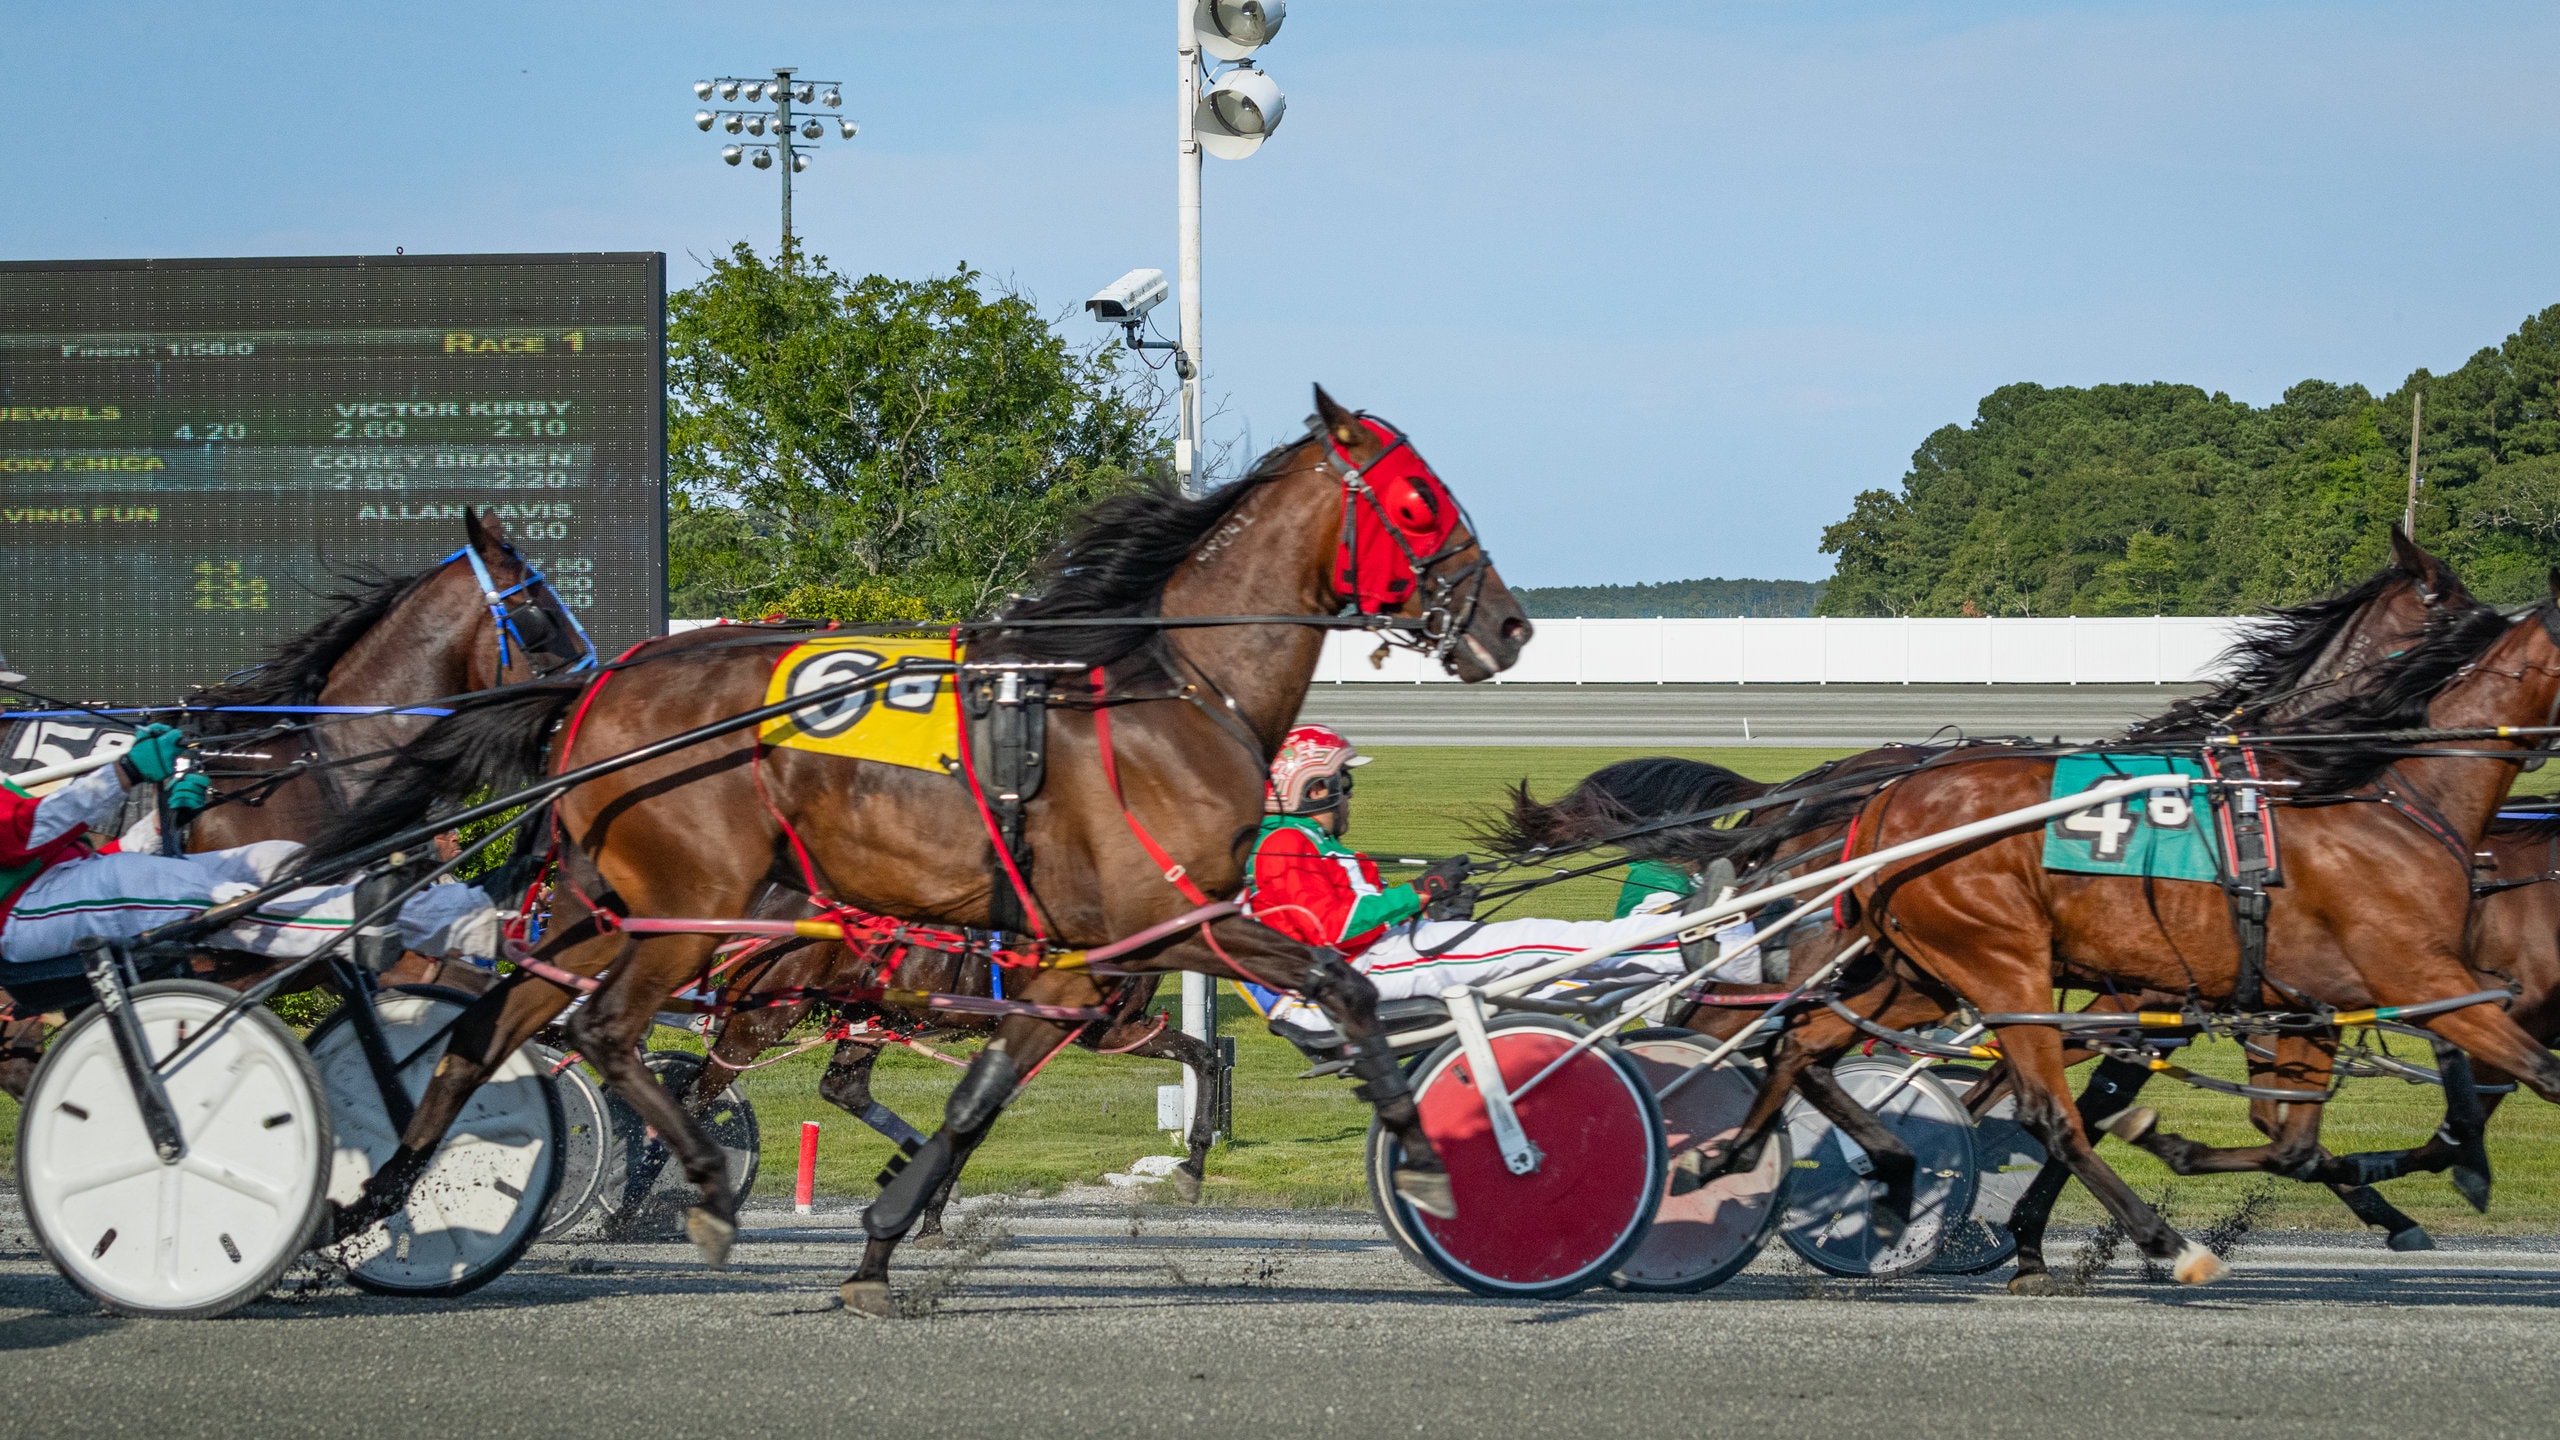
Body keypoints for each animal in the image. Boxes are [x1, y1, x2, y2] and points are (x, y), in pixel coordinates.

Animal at [309, 389, 1525, 1311]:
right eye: (1420, 502)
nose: (1509, 624)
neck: (1168, 690)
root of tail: (598, 685)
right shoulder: (1170, 924)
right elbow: (1337, 990)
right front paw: (1431, 1155)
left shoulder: (1072, 969)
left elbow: (977, 1102)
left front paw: (885, 1238)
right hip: (696, 910)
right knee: (604, 1032)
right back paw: (698, 1188)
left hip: (594, 905)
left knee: (486, 1029)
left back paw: (374, 1200)